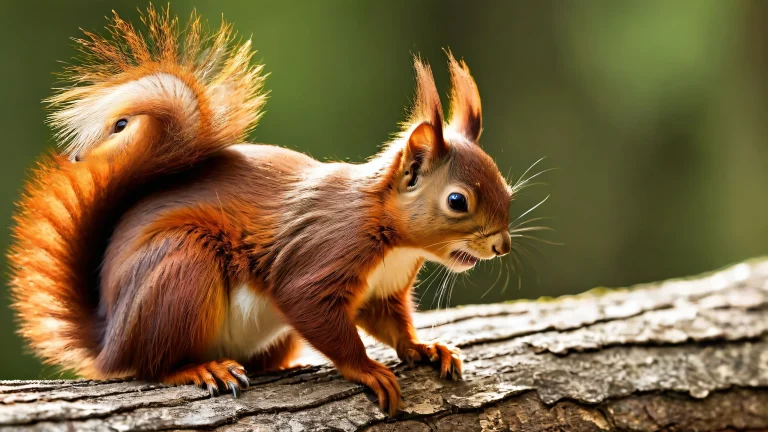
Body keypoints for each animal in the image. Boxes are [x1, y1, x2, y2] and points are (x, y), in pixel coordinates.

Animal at [8, 6, 513, 416]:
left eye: (506, 191)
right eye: (457, 201)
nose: (502, 246)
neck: (395, 238)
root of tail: (109, 339)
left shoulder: (382, 290)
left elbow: (390, 324)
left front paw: (425, 347)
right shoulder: (324, 253)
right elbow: (315, 313)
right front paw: (367, 369)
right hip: (181, 267)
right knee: (150, 365)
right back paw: (199, 369)